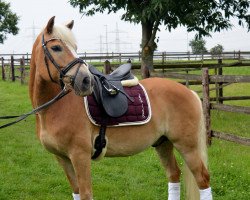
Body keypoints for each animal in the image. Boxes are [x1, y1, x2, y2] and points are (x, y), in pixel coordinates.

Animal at [29, 16, 213, 199]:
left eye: (74, 47)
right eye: (56, 47)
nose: (86, 81)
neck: (57, 108)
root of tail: (190, 92)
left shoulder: (79, 156)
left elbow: (86, 193)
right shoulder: (63, 158)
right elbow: (76, 192)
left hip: (187, 147)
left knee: (202, 178)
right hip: (163, 143)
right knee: (173, 174)